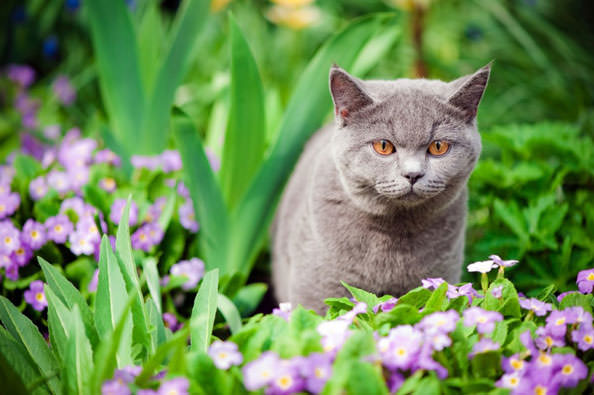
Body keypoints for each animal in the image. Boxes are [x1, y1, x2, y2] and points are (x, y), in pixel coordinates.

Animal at [270, 63, 488, 314]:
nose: (412, 174)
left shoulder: (441, 276)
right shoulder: (317, 290)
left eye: (438, 147)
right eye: (383, 146)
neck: (394, 236)